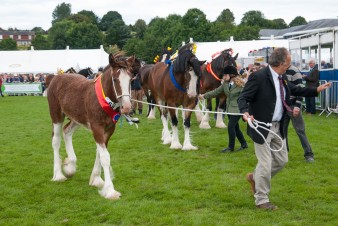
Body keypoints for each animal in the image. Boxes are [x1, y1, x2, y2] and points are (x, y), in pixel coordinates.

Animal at [46, 51, 136, 200]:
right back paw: (58, 175)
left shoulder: (109, 129)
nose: (127, 107)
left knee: (67, 131)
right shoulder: (96, 127)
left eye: (130, 80)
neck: (104, 100)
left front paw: (96, 179)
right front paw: (110, 191)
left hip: (76, 119)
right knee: (56, 140)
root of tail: (56, 77)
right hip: (56, 115)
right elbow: (105, 156)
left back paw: (70, 166)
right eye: (115, 80)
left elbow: (100, 152)